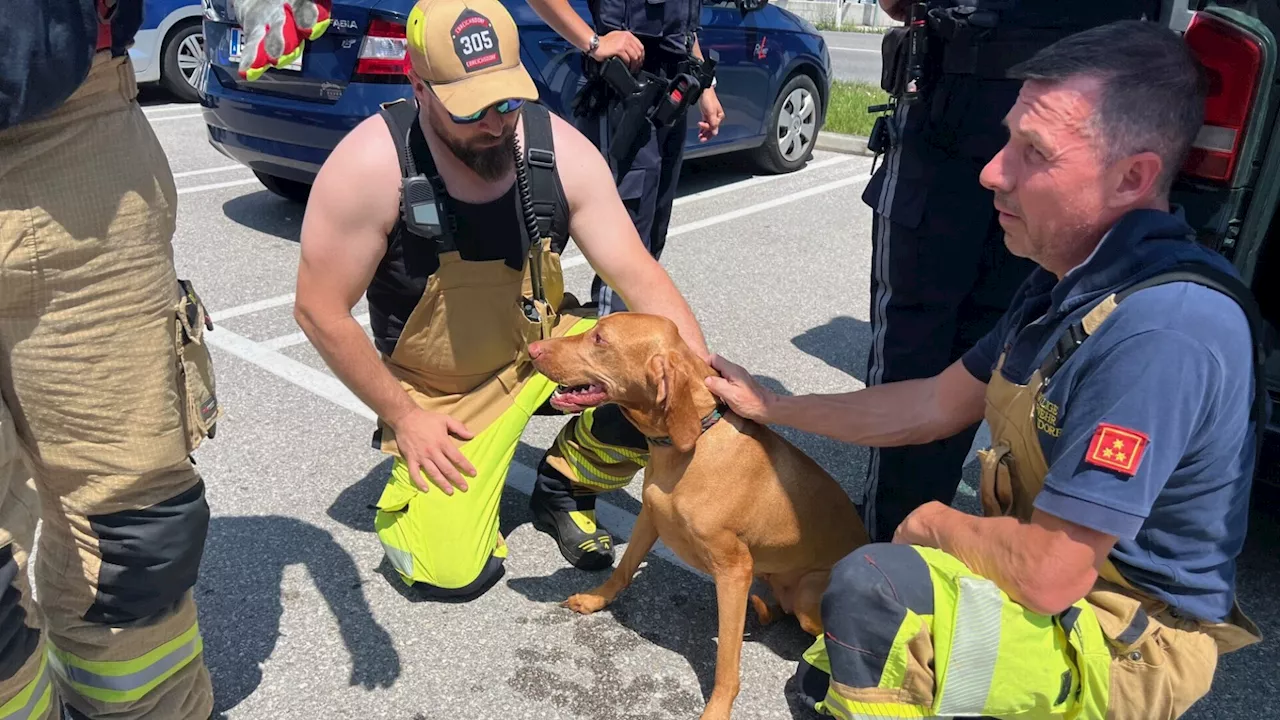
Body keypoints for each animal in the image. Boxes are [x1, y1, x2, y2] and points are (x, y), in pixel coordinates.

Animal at [522, 311, 870, 712]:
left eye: (600, 339)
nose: (533, 348)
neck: (691, 443)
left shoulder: (734, 570)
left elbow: (726, 660)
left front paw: (717, 708)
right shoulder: (650, 518)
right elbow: (623, 570)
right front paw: (596, 599)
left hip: (809, 593)